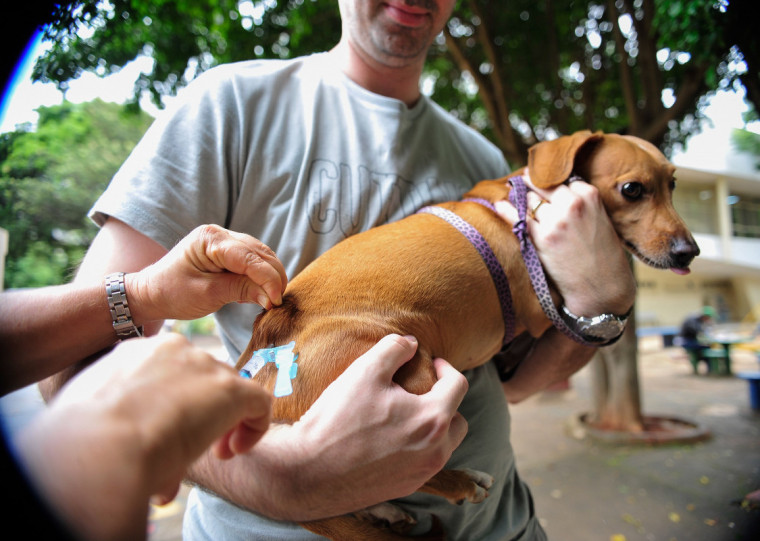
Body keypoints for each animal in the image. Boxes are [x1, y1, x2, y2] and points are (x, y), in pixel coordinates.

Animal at [235, 129, 696, 536]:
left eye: (673, 184)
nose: (689, 252)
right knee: (396, 471)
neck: (523, 203)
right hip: (413, 376)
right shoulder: (542, 310)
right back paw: (457, 483)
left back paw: (383, 511)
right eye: (632, 189)